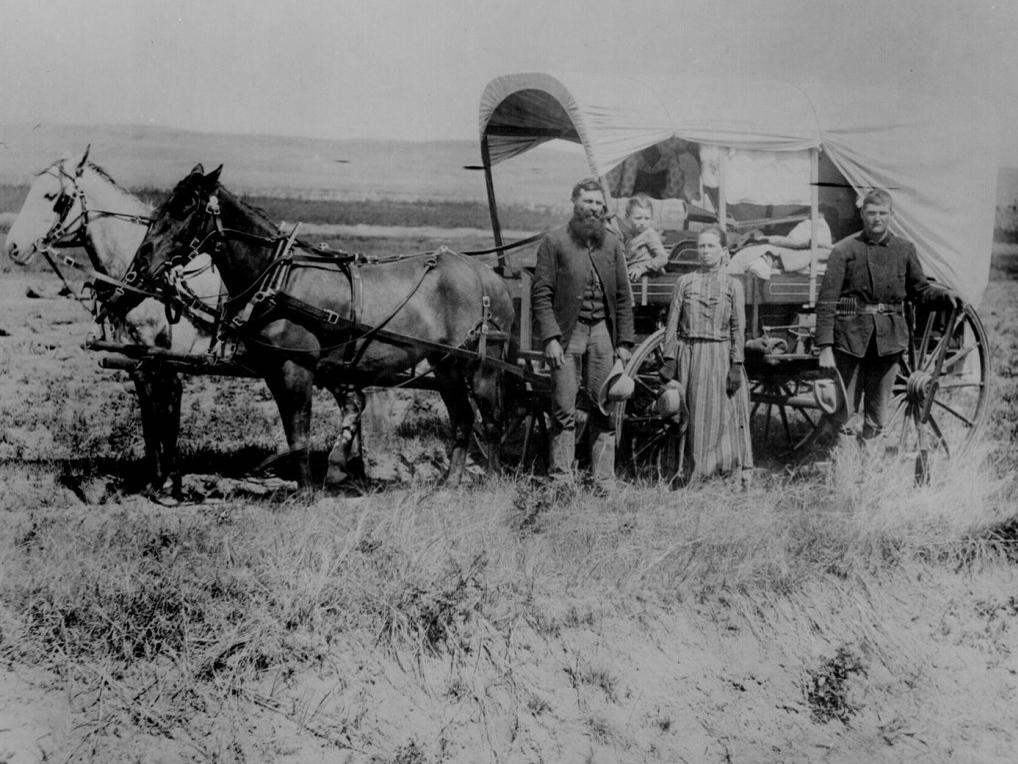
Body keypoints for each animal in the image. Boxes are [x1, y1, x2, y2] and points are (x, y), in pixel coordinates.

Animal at [5, 147, 220, 499]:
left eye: (53, 197)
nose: (13, 247)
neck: (148, 279)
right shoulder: (138, 362)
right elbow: (149, 419)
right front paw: (154, 480)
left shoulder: (168, 362)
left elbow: (169, 414)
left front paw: (173, 485)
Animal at [115, 167, 513, 490]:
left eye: (187, 207)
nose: (143, 261)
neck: (277, 277)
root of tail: (490, 277)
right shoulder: (275, 370)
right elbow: (294, 433)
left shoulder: (297, 368)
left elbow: (299, 433)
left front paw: (307, 493)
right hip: (446, 365)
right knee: (463, 420)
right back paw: (450, 482)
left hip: (483, 365)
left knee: (493, 421)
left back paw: (492, 481)